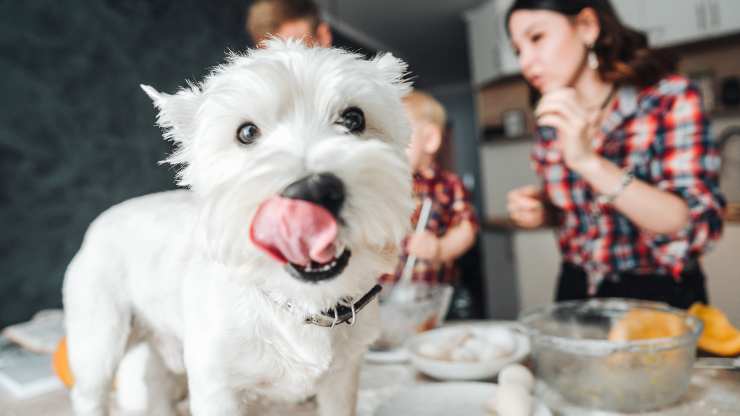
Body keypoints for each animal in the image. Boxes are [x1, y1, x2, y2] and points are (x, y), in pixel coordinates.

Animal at [61, 39, 414, 416]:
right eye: (246, 133)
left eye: (354, 118)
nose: (313, 191)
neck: (298, 302)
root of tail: (99, 223)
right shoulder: (218, 388)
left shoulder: (342, 379)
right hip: (99, 340)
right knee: (90, 391)